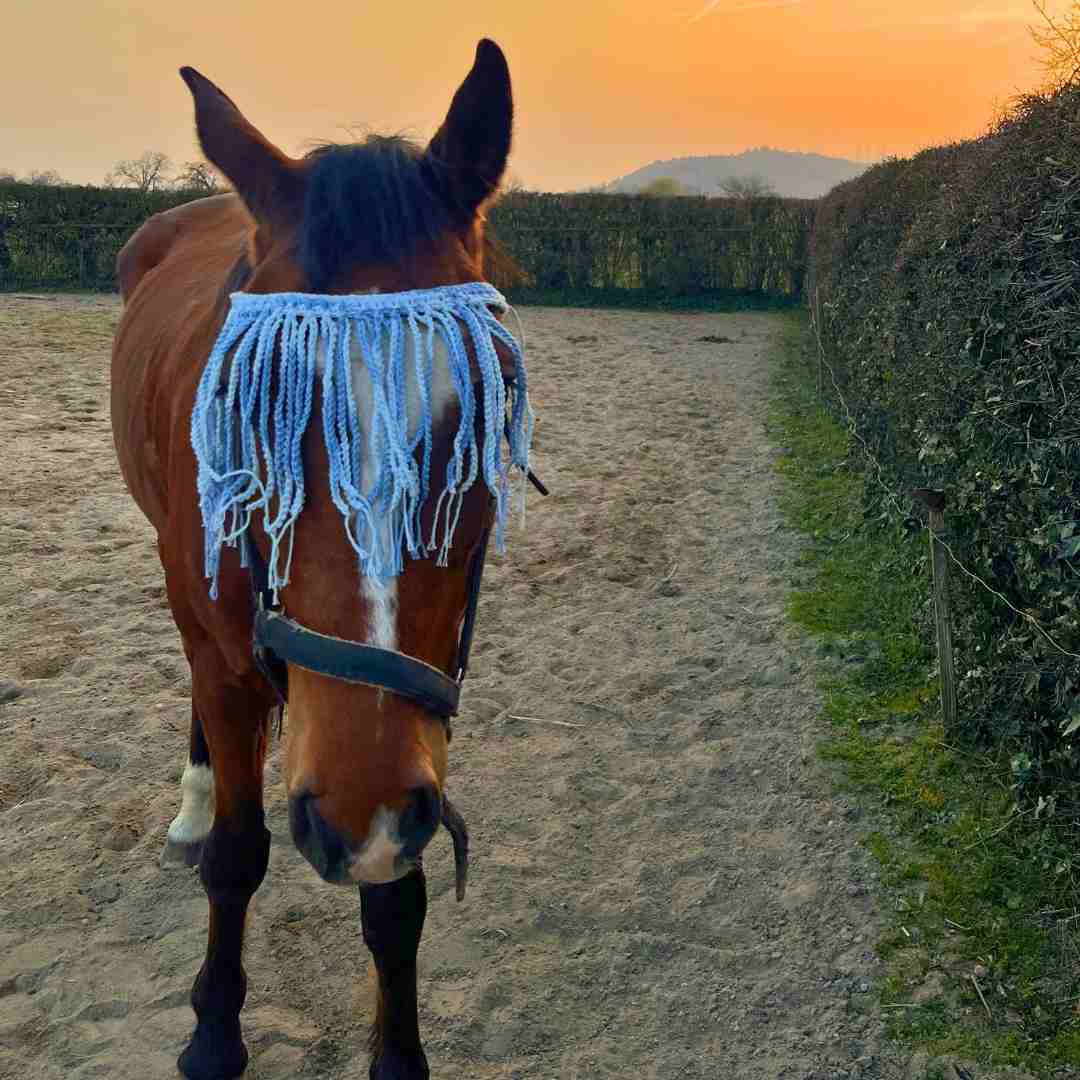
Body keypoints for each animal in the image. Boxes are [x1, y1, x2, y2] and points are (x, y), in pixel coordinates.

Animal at [110, 40, 531, 1080]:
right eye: (247, 400)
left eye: (492, 394)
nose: (354, 818)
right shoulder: (229, 664)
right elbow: (237, 855)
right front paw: (212, 1035)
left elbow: (396, 899)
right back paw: (192, 805)